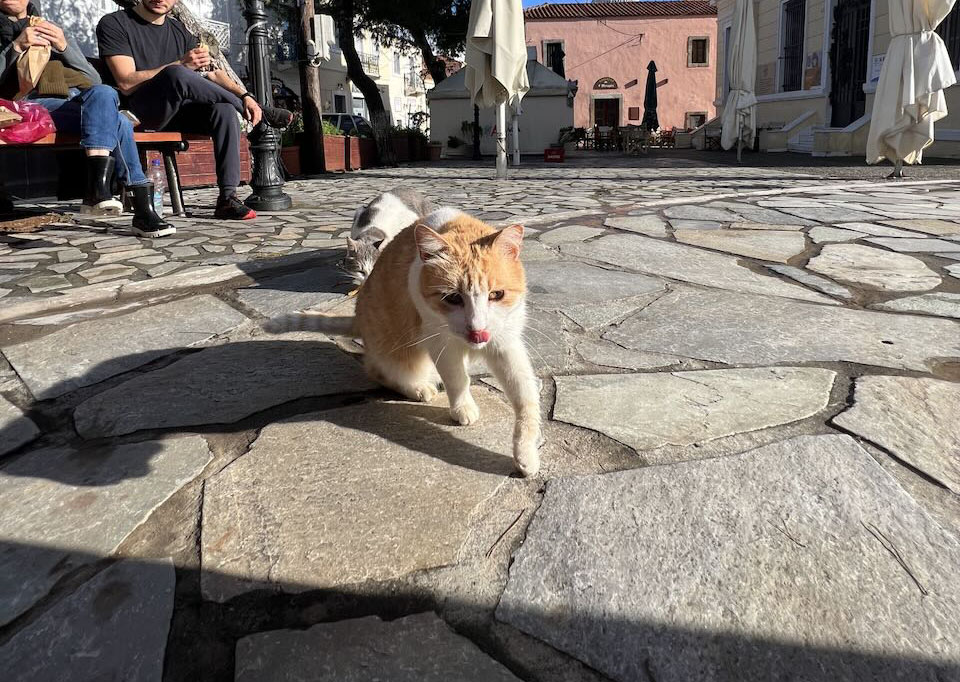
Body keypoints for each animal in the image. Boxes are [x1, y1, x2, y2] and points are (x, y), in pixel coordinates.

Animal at [266, 210, 544, 476]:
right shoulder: (439, 341)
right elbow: (457, 379)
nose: (478, 332)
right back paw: (418, 388)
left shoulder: (505, 343)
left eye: (497, 295)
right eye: (453, 298)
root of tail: (359, 317)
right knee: (379, 370)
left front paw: (526, 452)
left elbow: (525, 397)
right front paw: (462, 407)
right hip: (400, 352)